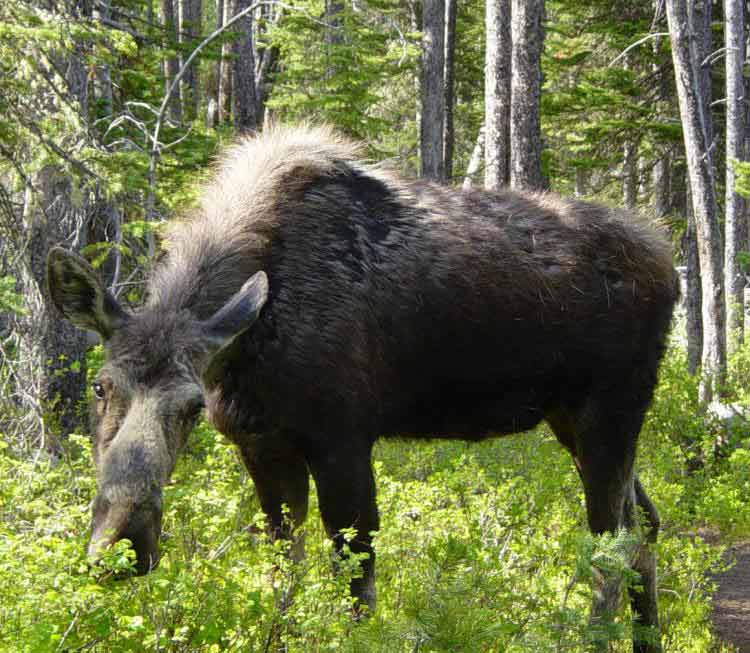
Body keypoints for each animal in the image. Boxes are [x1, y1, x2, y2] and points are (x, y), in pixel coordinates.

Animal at [50, 123, 680, 652]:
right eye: (101, 387)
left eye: (190, 407)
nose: (121, 546)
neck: (247, 346)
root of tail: (671, 262)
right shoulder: (263, 444)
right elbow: (284, 576)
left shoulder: (343, 437)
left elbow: (356, 584)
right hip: (573, 420)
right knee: (645, 529)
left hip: (611, 414)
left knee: (612, 548)